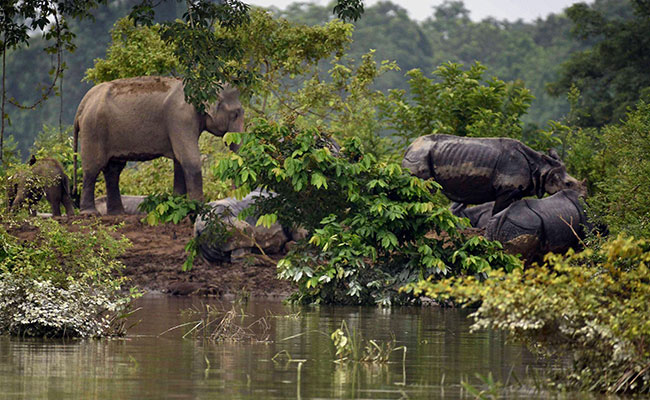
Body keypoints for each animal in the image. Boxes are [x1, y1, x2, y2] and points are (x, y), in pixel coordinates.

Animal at [71, 74, 243, 214]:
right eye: (236, 114)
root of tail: (84, 103)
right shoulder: (180, 118)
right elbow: (189, 158)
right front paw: (197, 208)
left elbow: (179, 159)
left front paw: (177, 205)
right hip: (93, 129)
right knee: (92, 167)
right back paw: (90, 213)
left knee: (113, 169)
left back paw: (117, 213)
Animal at [400, 134, 584, 216]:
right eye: (568, 184)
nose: (584, 195)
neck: (541, 167)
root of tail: (408, 148)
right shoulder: (506, 190)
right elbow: (497, 212)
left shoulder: (516, 191)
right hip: (420, 156)